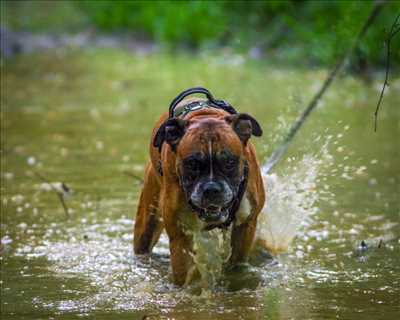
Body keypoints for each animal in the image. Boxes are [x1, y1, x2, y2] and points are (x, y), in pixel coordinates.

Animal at [134, 87, 266, 284]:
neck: (205, 116)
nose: (211, 189)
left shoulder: (246, 227)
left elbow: (237, 266)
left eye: (229, 162)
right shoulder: (180, 238)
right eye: (192, 164)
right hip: (146, 225)